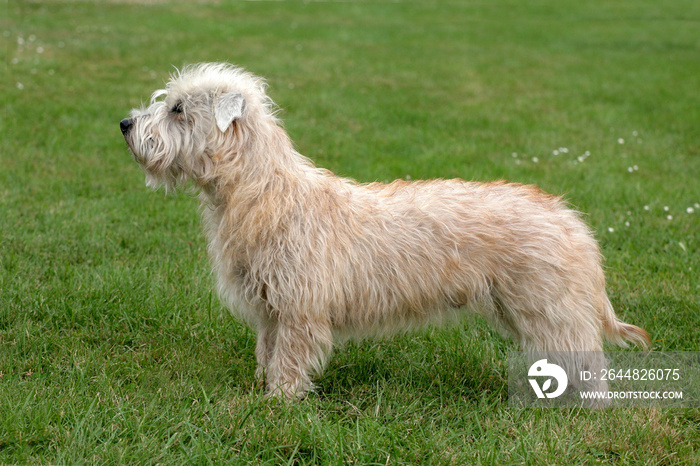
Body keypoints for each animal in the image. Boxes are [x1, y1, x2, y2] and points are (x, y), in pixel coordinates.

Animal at [120, 62, 652, 400]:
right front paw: (261, 389)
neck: (262, 192)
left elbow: (289, 359)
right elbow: (267, 352)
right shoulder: (271, 309)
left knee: (588, 363)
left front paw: (280, 403)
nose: (125, 123)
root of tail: (568, 218)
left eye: (178, 109)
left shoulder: (299, 310)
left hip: (550, 309)